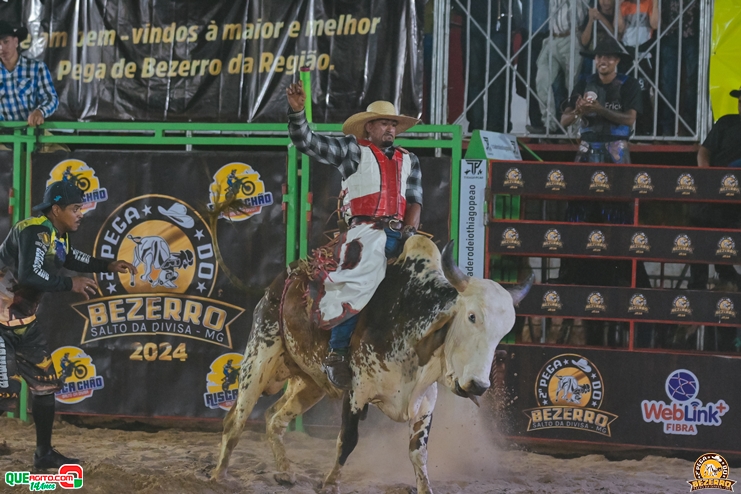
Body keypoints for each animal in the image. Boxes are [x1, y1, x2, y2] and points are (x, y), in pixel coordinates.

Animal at [211, 237, 528, 492]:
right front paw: (330, 484)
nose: (478, 385)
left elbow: (418, 452)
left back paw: (286, 472)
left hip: (309, 384)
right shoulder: (356, 392)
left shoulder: (425, 401)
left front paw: (425, 488)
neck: (408, 315)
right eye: (472, 316)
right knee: (236, 421)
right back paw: (219, 475)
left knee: (274, 418)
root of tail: (288, 277)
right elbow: (347, 440)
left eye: (504, 331)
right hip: (258, 360)